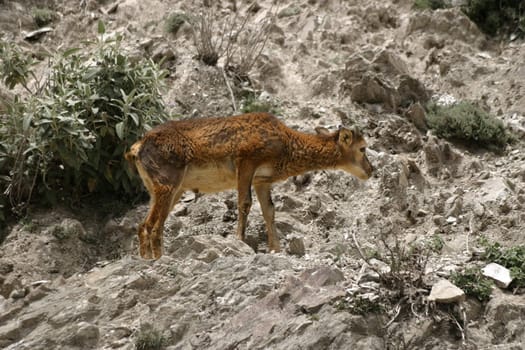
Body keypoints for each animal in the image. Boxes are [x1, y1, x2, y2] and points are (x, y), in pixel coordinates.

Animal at [125, 112, 372, 260]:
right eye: (362, 148)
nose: (371, 170)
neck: (285, 146)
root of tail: (137, 148)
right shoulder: (246, 161)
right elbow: (244, 202)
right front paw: (240, 241)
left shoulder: (262, 180)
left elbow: (269, 210)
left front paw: (275, 249)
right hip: (167, 184)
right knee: (152, 225)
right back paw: (157, 257)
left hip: (168, 189)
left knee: (144, 223)